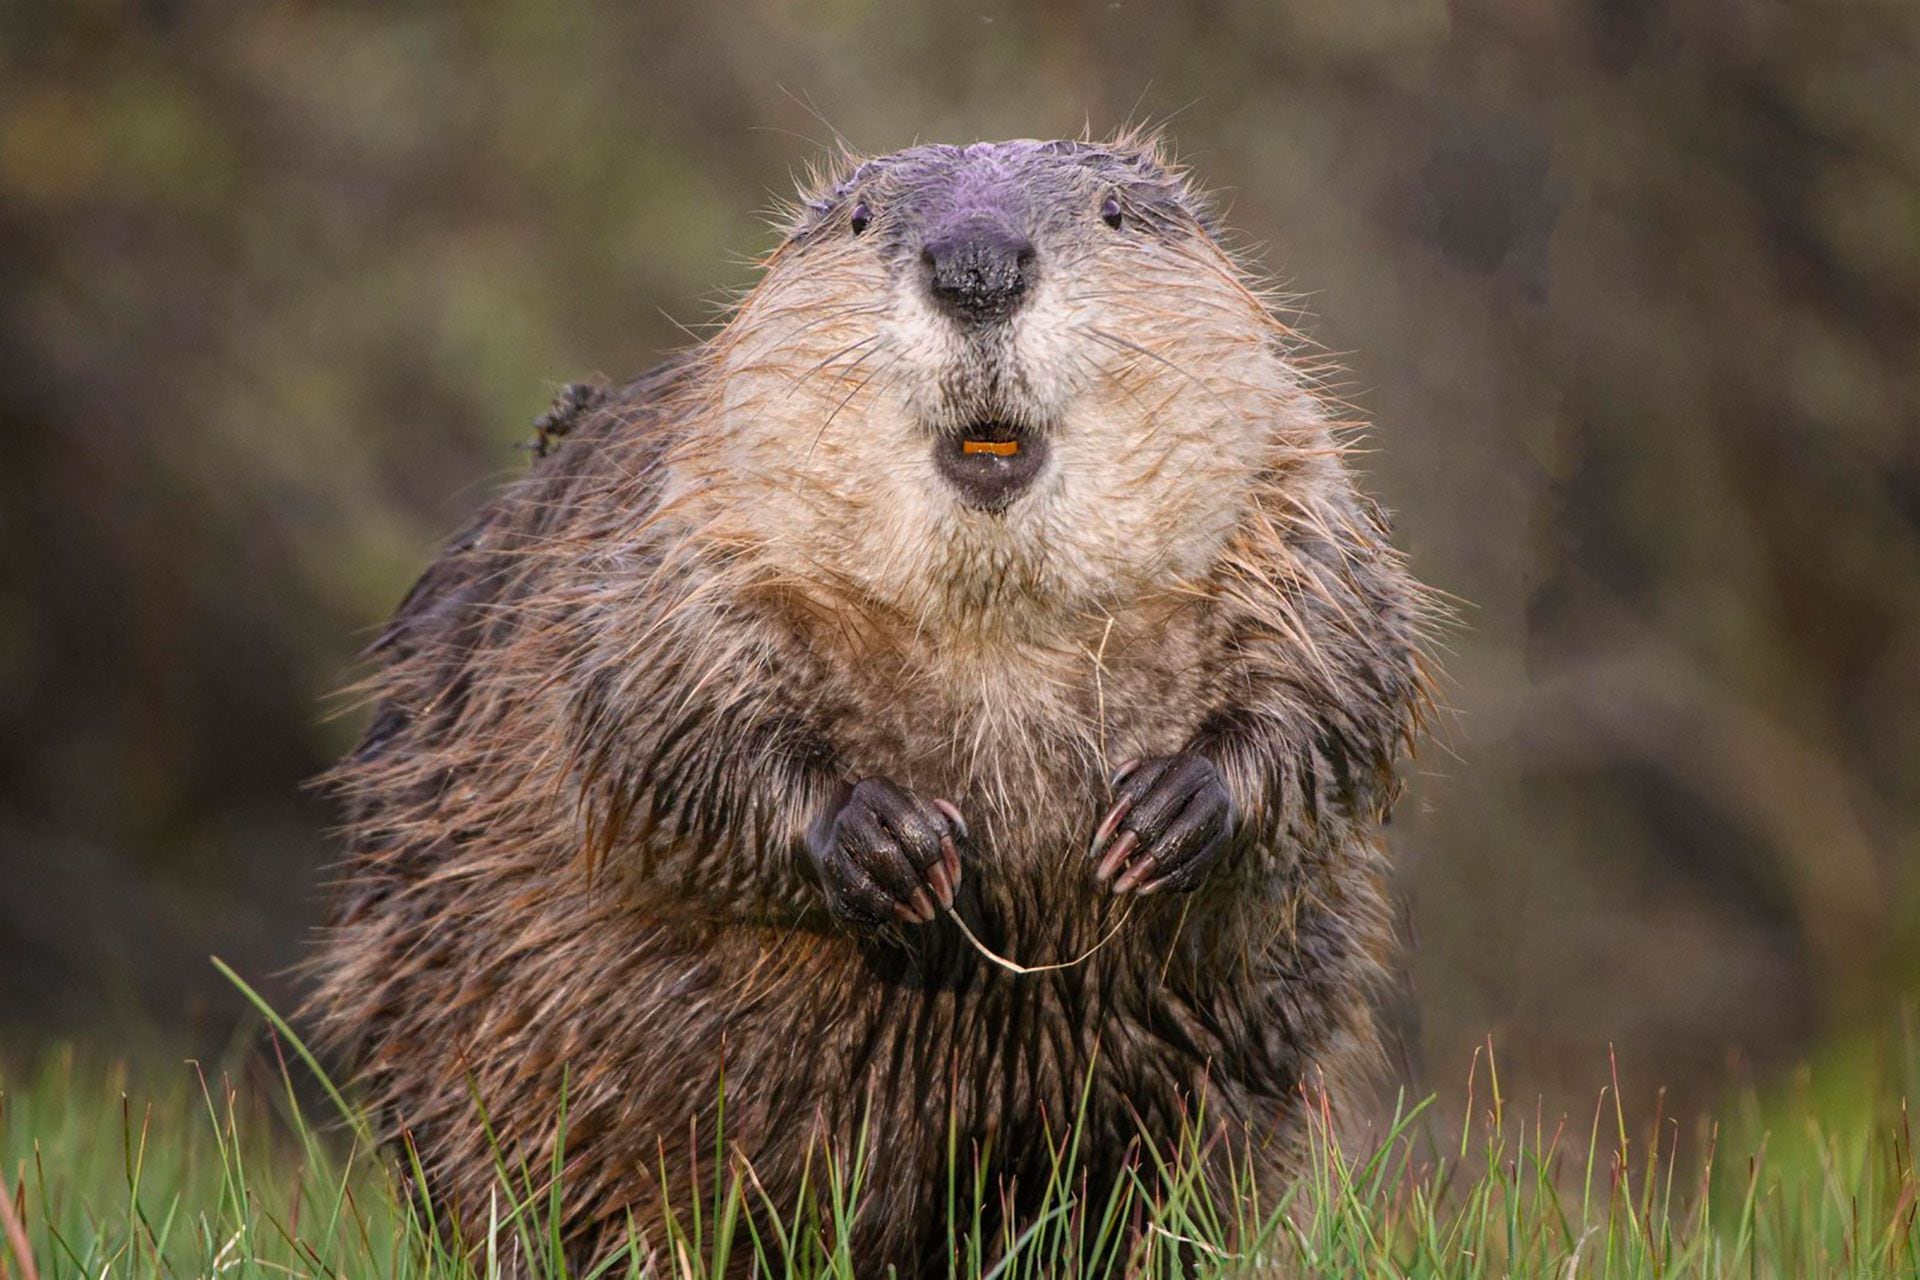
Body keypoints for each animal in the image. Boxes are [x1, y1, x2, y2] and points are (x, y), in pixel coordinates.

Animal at [311, 135, 1428, 1274]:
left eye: (1114, 213)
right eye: (860, 221)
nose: (977, 266)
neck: (998, 630)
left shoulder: (1293, 496)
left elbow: (1348, 672)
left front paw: (1162, 817)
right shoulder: (685, 527)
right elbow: (655, 718)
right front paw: (895, 846)